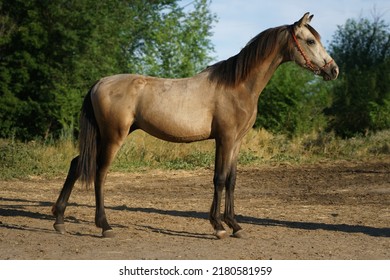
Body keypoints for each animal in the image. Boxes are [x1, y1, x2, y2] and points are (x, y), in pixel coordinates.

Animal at [51, 12, 338, 238]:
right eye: (310, 40)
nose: (333, 70)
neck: (237, 85)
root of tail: (99, 83)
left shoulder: (236, 141)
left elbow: (232, 180)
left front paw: (235, 225)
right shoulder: (225, 139)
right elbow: (219, 179)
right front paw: (218, 226)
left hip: (102, 136)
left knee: (76, 164)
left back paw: (59, 219)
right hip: (113, 137)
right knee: (99, 173)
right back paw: (104, 226)